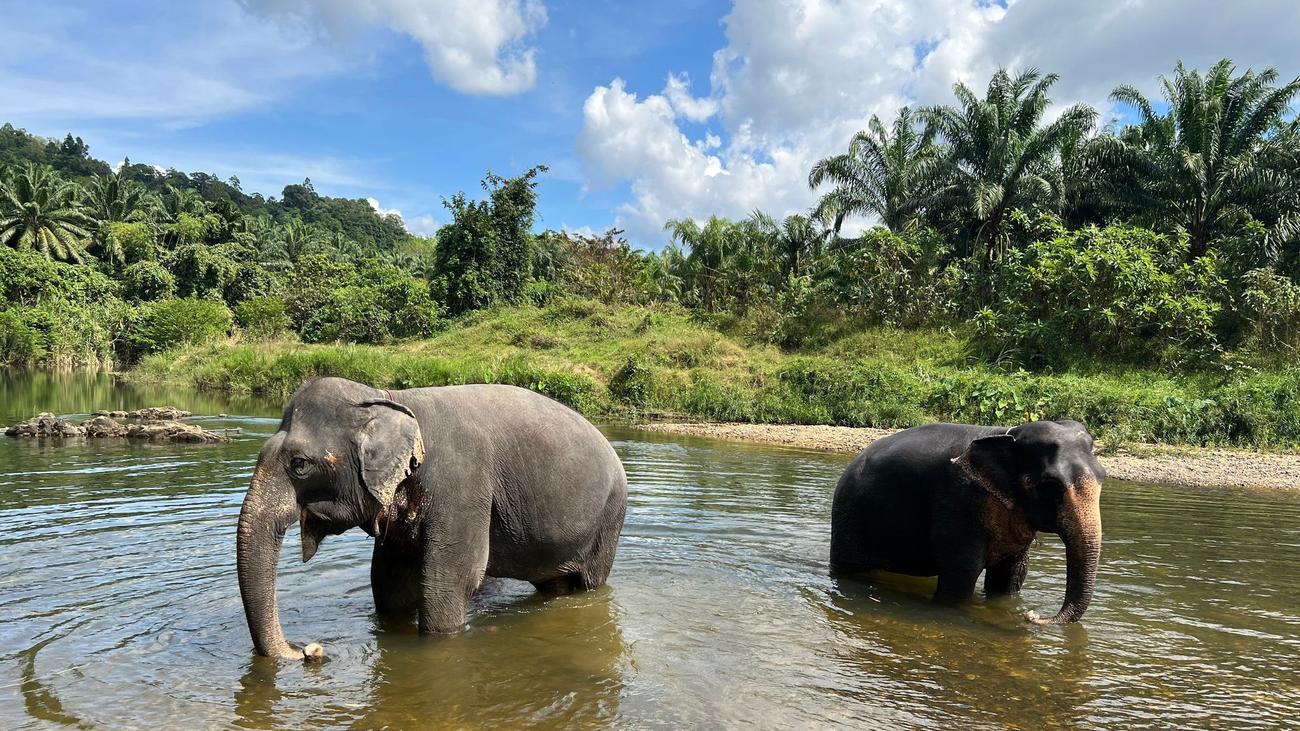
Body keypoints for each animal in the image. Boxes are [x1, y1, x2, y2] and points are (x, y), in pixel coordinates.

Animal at [241, 377, 631, 658]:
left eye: (299, 465)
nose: (307, 651)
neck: (388, 398)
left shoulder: (462, 488)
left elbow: (451, 581)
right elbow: (388, 581)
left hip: (608, 520)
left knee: (589, 583)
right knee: (554, 586)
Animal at [832, 418, 1107, 624]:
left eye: (1103, 476)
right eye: (1050, 486)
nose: (1032, 615)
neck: (1006, 434)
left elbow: (1012, 574)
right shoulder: (959, 503)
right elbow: (963, 571)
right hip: (850, 518)